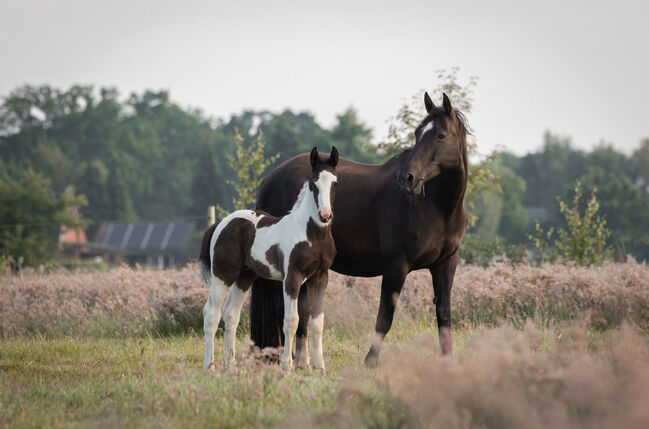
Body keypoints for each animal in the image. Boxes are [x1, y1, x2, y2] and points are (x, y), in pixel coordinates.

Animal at [197, 145, 340, 370]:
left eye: (335, 183)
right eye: (314, 184)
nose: (325, 215)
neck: (311, 234)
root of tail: (220, 223)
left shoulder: (320, 277)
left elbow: (317, 322)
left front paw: (320, 368)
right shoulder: (292, 278)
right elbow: (291, 321)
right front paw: (287, 366)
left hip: (244, 277)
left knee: (231, 314)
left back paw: (230, 365)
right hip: (223, 275)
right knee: (211, 313)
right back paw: (209, 367)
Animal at [248, 92, 466, 366]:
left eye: (440, 135)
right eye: (417, 133)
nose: (407, 177)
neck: (436, 207)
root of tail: (270, 179)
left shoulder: (446, 264)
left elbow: (444, 314)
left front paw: (448, 362)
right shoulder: (397, 266)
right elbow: (385, 317)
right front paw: (370, 361)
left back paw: (302, 360)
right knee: (285, 309)